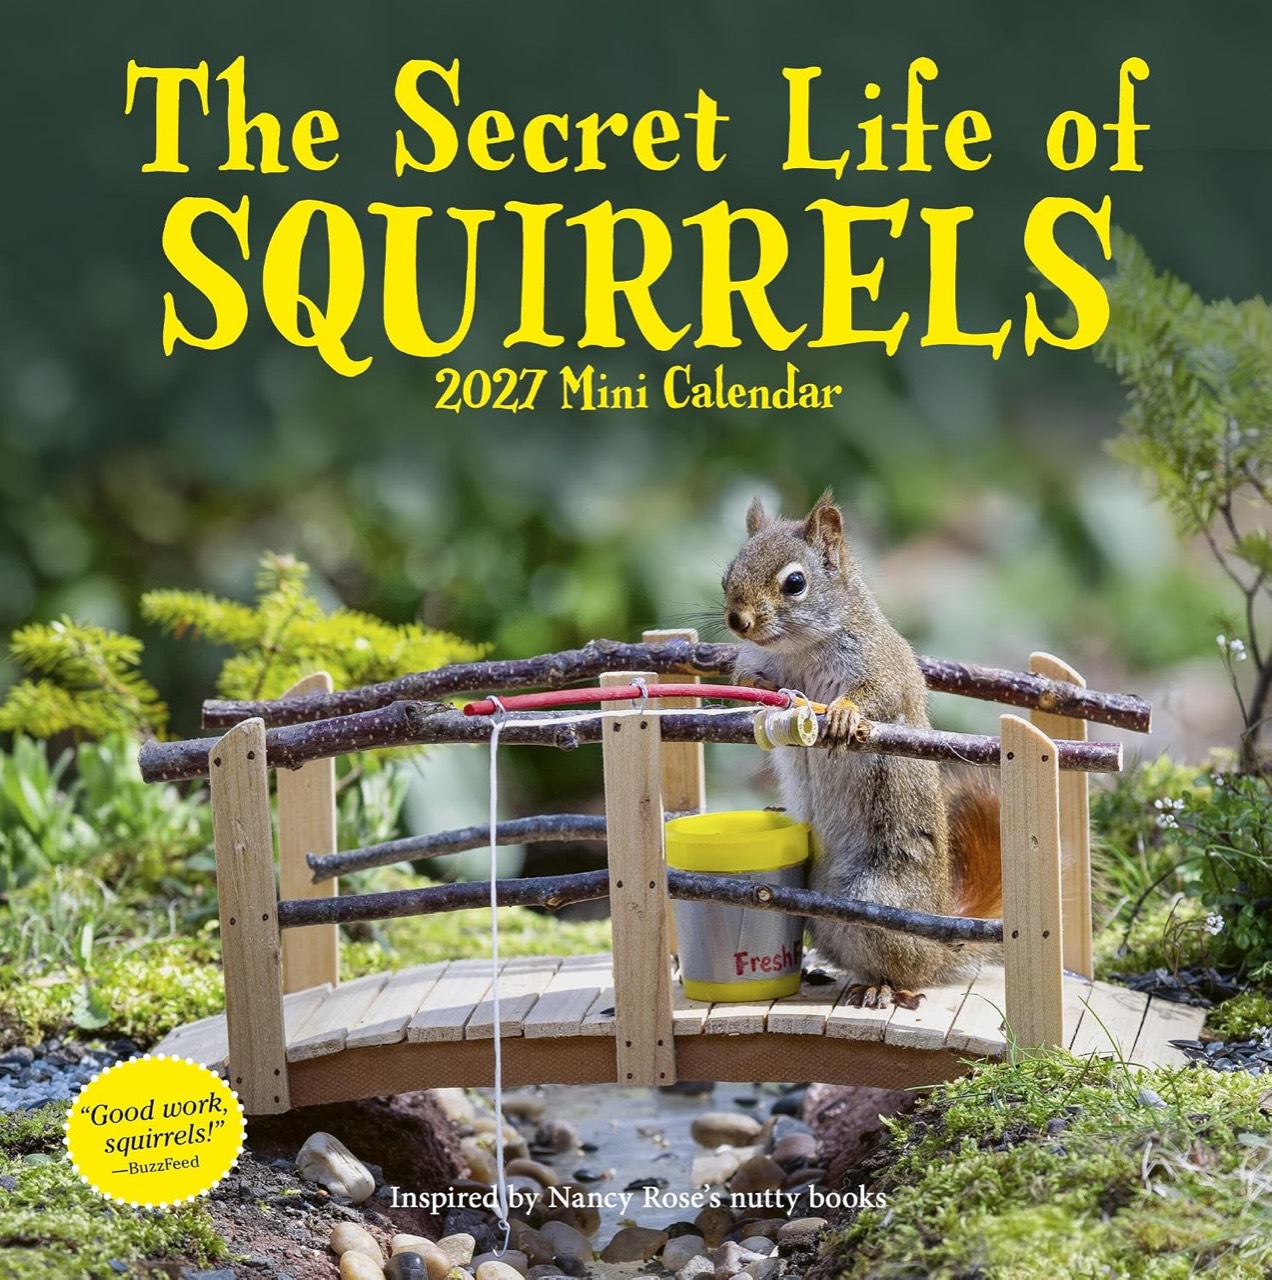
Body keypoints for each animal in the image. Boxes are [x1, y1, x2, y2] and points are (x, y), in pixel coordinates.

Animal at [722, 490, 1002, 1009]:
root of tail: (938, 948)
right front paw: (759, 693)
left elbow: (879, 696)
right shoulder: (757, 662)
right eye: (729, 573)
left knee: (907, 971)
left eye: (795, 582)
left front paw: (844, 714)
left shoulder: (882, 666)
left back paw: (883, 987)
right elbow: (748, 683)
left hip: (879, 900)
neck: (798, 650)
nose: (738, 621)